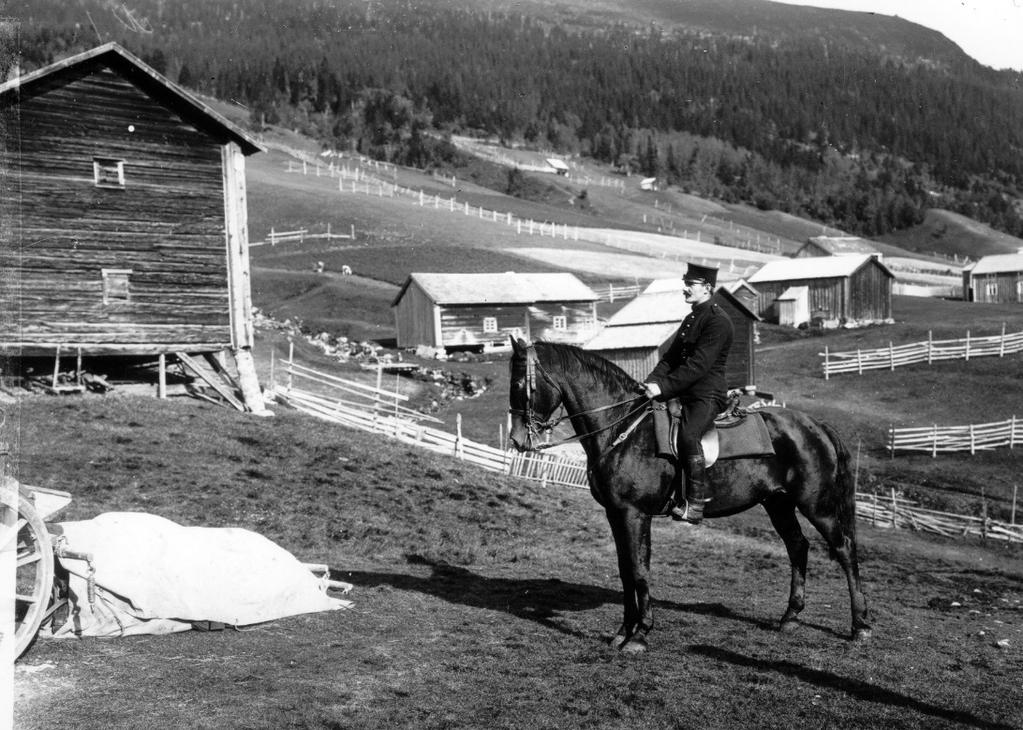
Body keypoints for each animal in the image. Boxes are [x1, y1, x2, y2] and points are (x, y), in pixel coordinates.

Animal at [507, 337, 867, 650]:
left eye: (521, 384)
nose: (517, 440)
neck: (622, 429)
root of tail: (815, 425)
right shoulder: (615, 513)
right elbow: (625, 570)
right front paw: (624, 631)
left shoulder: (635, 514)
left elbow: (639, 570)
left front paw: (640, 635)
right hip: (777, 503)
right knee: (798, 546)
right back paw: (790, 617)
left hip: (816, 504)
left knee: (844, 549)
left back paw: (860, 626)